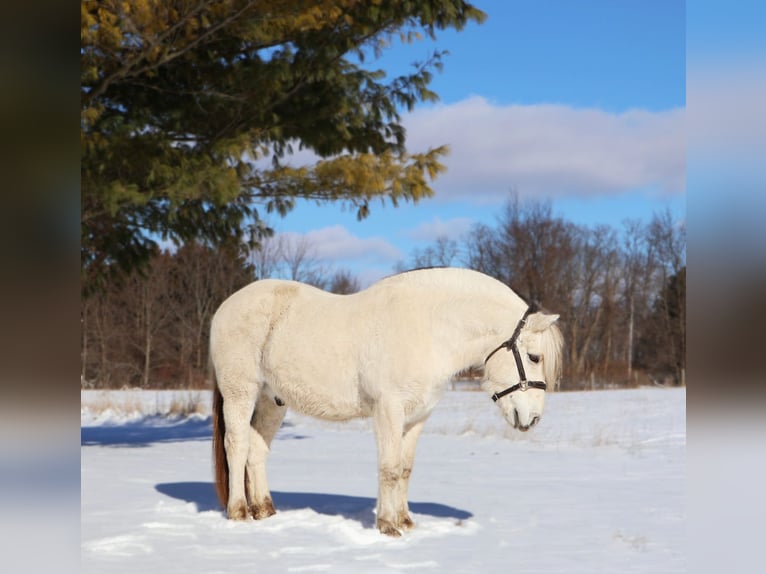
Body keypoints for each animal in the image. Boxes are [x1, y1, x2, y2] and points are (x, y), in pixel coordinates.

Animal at [210, 267, 563, 537]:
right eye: (534, 356)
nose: (532, 418)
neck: (428, 328)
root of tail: (225, 307)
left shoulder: (417, 417)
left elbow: (405, 469)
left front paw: (406, 521)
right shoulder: (388, 411)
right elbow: (389, 468)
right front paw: (387, 526)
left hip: (273, 400)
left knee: (257, 450)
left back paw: (265, 510)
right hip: (240, 391)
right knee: (237, 445)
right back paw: (239, 511)